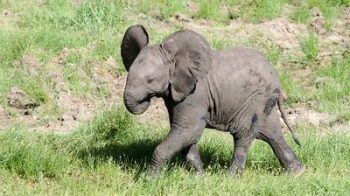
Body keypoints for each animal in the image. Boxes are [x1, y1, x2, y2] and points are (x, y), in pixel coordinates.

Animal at [121, 24, 304, 178]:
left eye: (150, 80)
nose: (143, 101)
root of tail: (278, 81)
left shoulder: (195, 94)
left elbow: (188, 130)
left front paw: (147, 180)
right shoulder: (176, 95)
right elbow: (187, 136)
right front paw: (200, 178)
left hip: (255, 99)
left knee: (243, 134)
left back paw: (230, 178)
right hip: (264, 103)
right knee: (273, 134)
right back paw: (297, 172)